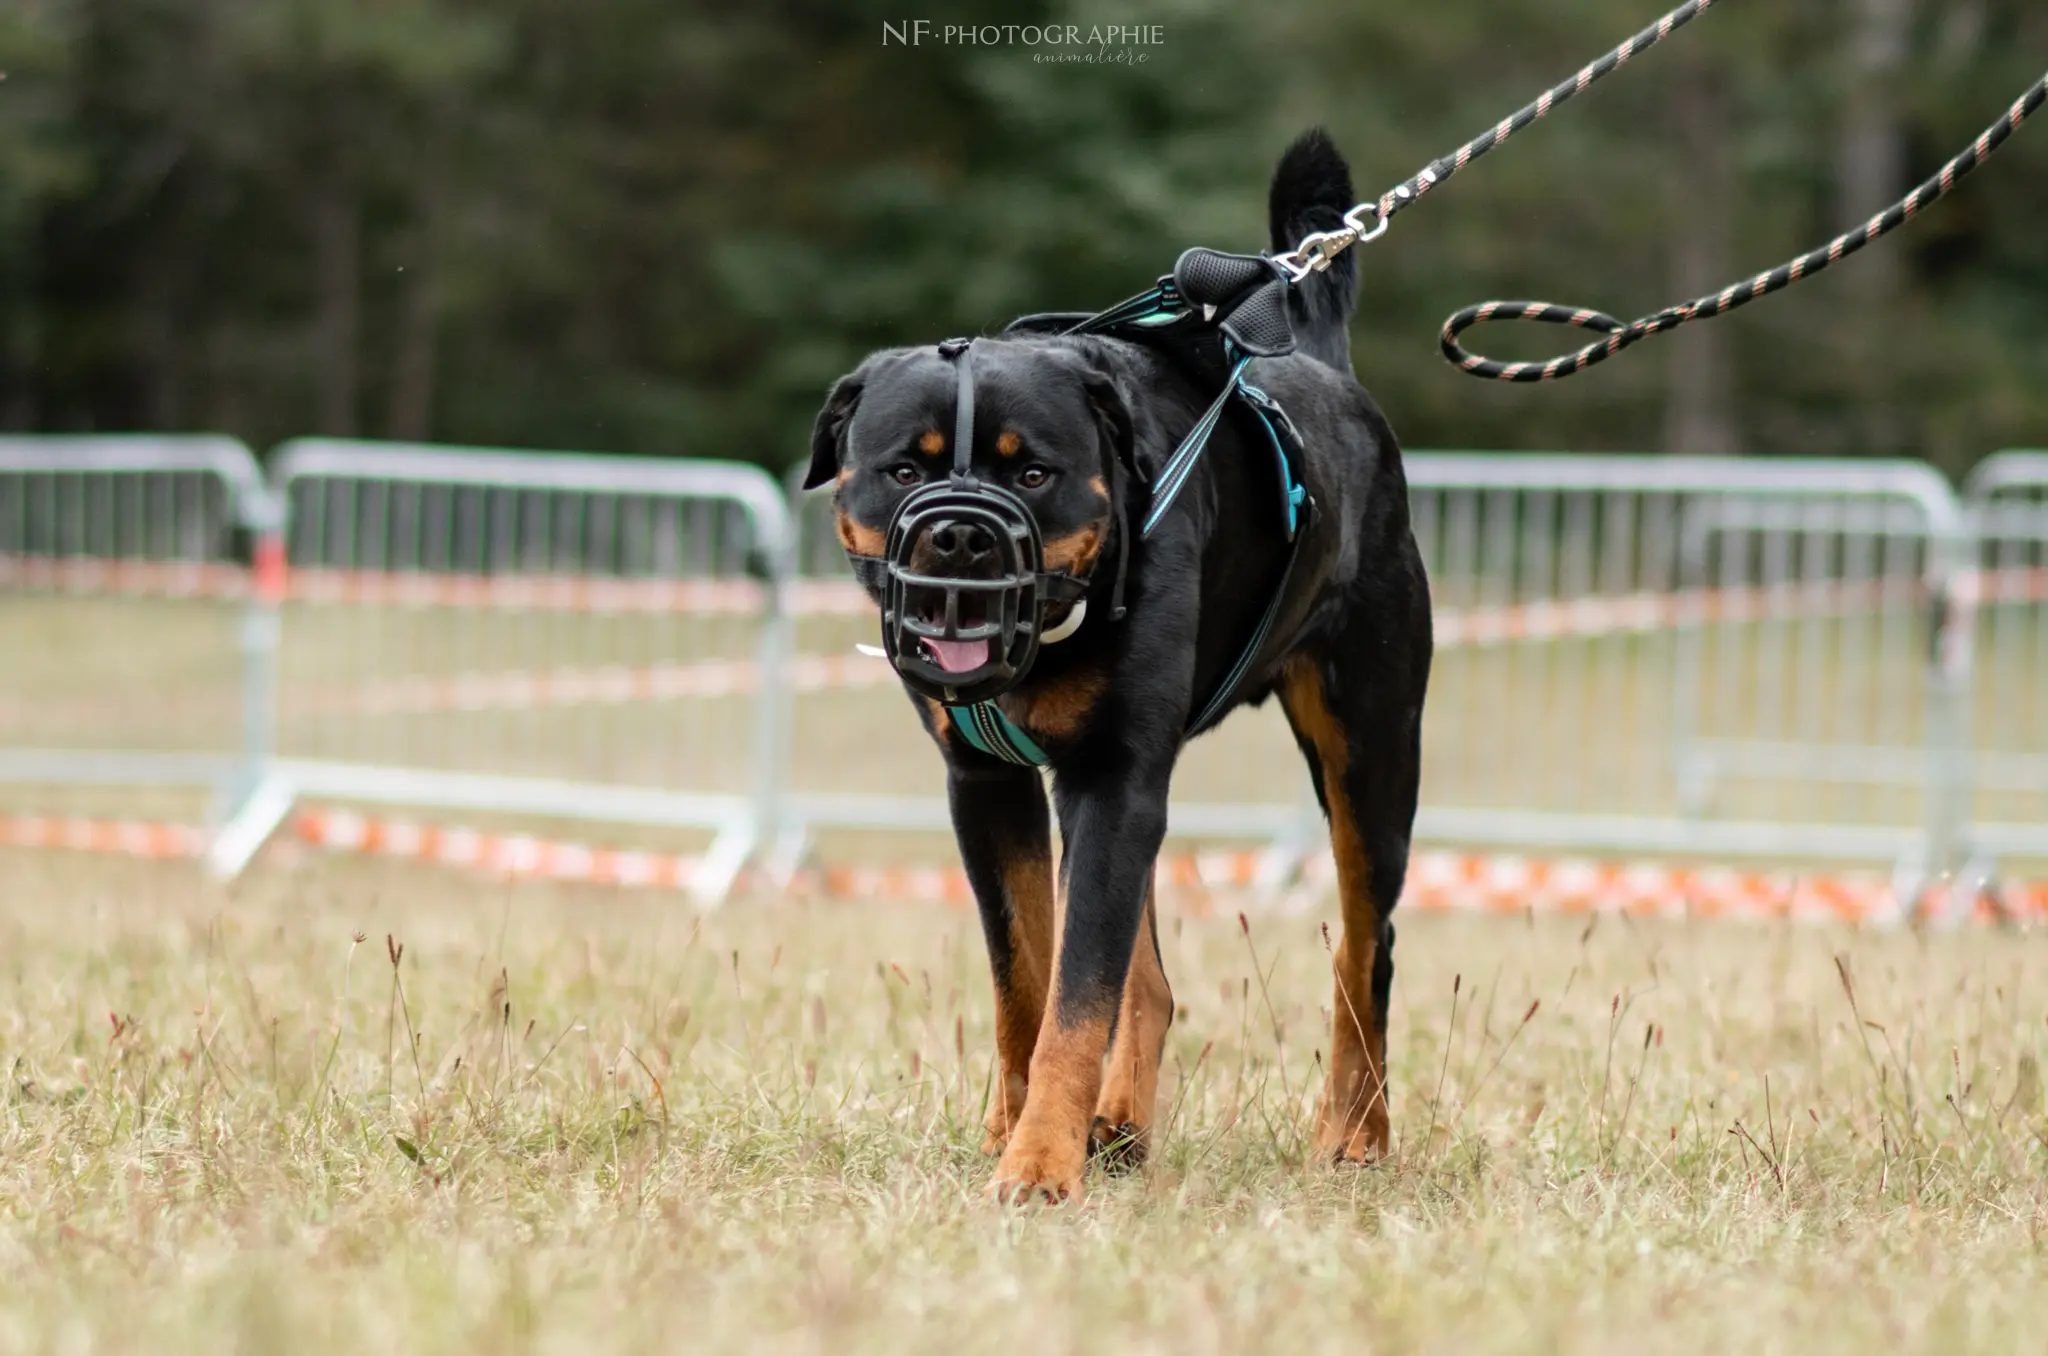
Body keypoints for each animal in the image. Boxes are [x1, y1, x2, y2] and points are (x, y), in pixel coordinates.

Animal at [806, 133, 1433, 1204]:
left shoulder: (1116, 777)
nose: (963, 535)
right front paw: (1020, 1128)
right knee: (1153, 980)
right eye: (905, 469)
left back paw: (1354, 1135)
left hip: (1371, 748)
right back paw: (1122, 1125)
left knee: (1366, 949)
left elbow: (1078, 994)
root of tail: (1326, 375)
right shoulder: (989, 783)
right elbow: (1031, 977)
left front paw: (1040, 1166)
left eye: (1032, 471)